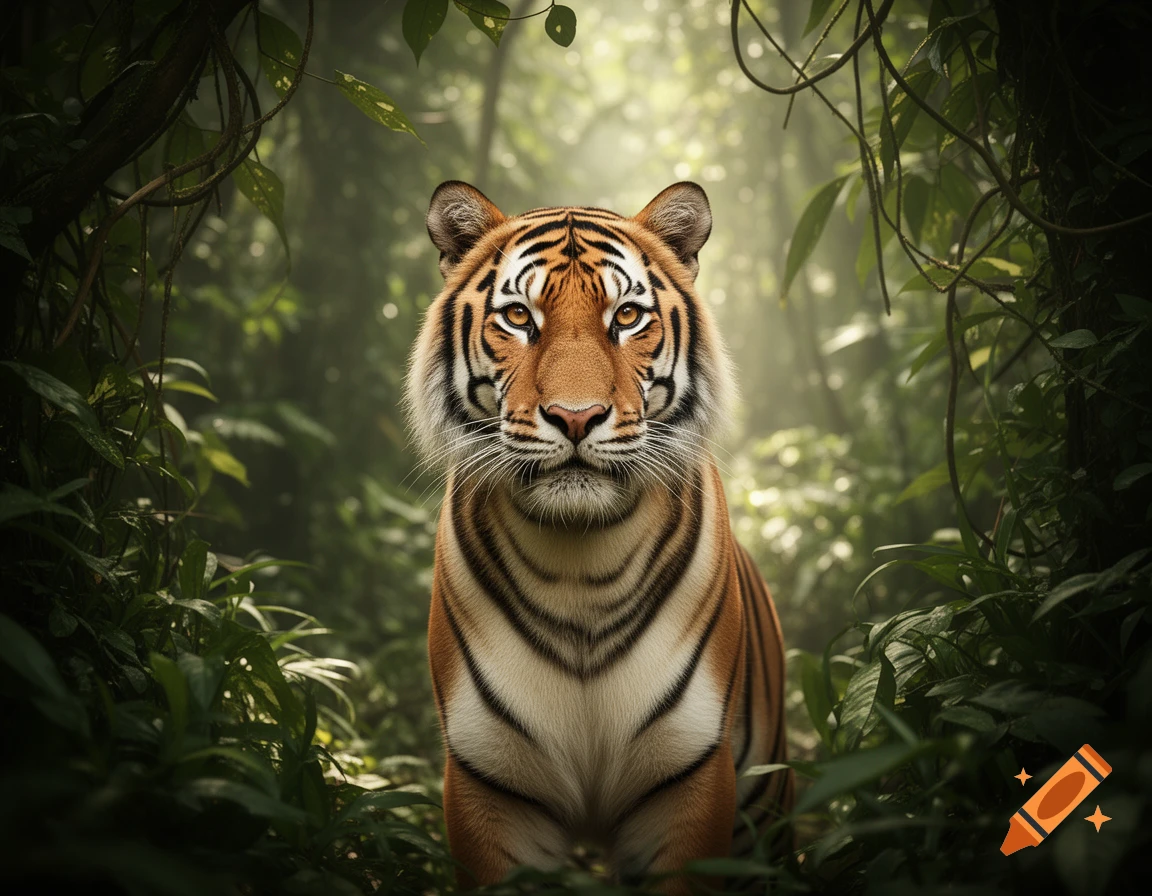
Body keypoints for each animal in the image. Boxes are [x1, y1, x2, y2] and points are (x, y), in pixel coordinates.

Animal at [404, 180, 793, 892]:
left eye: (628, 317)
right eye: (520, 318)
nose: (576, 416)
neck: (577, 564)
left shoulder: (690, 779)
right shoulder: (489, 785)